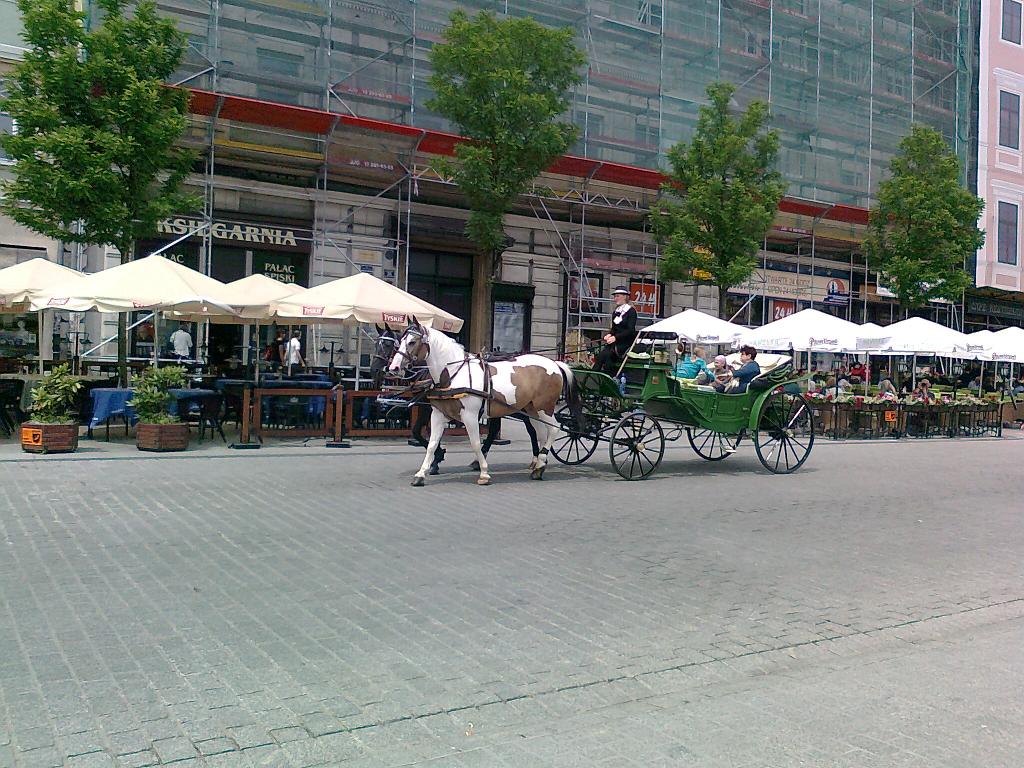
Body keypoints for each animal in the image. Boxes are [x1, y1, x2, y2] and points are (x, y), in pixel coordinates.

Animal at [385, 319, 581, 487]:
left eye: (412, 342)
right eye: (399, 341)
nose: (393, 368)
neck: (454, 373)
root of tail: (555, 363)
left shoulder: (470, 416)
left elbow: (475, 443)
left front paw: (484, 472)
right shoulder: (439, 415)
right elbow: (432, 444)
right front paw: (421, 473)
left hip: (544, 408)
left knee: (554, 429)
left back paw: (540, 462)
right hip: (531, 410)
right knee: (540, 434)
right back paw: (539, 464)